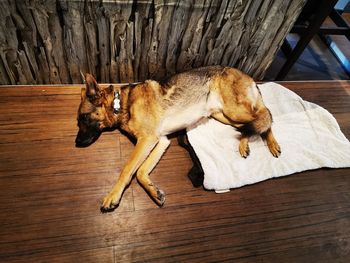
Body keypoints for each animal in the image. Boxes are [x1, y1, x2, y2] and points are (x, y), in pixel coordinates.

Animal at [75, 66, 280, 212]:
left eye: (83, 118)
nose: (76, 143)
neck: (121, 103)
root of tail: (248, 76)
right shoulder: (160, 141)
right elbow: (141, 171)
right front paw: (154, 191)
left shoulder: (147, 139)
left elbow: (128, 169)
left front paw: (113, 196)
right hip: (224, 116)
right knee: (254, 123)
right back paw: (244, 144)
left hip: (234, 110)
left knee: (265, 115)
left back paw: (273, 144)